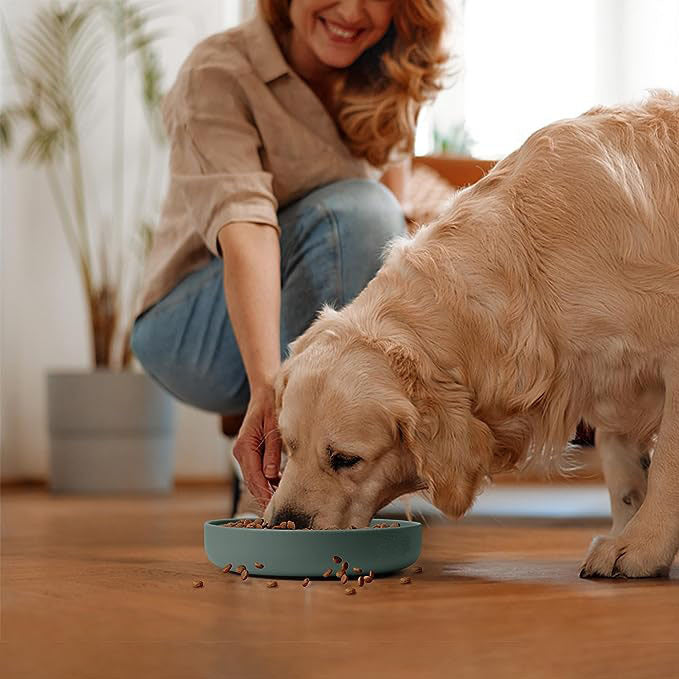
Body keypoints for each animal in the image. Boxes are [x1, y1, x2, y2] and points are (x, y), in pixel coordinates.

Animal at [264, 91, 679, 580]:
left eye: (346, 459)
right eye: (288, 445)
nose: (283, 524)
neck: (534, 270)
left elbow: (667, 464)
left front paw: (641, 545)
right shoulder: (611, 380)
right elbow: (623, 470)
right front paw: (625, 532)